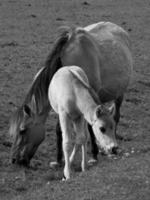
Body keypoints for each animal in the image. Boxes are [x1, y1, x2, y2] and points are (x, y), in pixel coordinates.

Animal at [9, 21, 132, 167]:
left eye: (22, 130)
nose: (14, 160)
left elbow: (91, 126)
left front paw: (94, 155)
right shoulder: (61, 103)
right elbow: (59, 129)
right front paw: (58, 160)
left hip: (119, 94)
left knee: (116, 116)